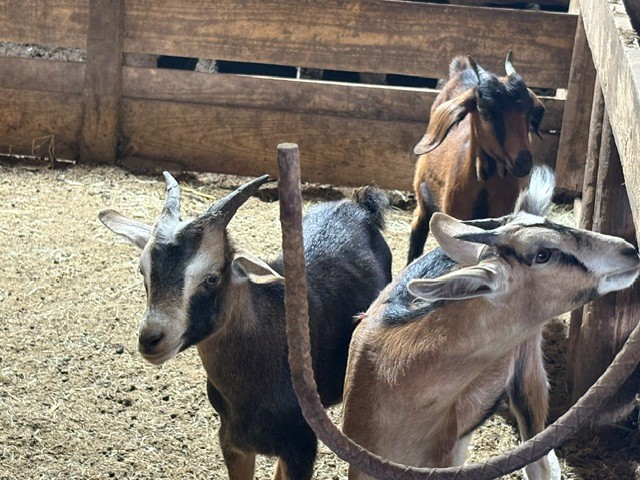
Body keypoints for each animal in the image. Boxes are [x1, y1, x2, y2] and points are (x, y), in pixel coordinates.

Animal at [99, 173, 392, 480]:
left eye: (211, 278)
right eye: (143, 270)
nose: (151, 338)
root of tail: (357, 206)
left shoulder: (302, 449)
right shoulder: (233, 443)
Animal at [407, 52, 546, 263]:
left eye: (530, 114)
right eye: (485, 113)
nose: (523, 162)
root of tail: (462, 69)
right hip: (423, 194)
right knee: (418, 224)